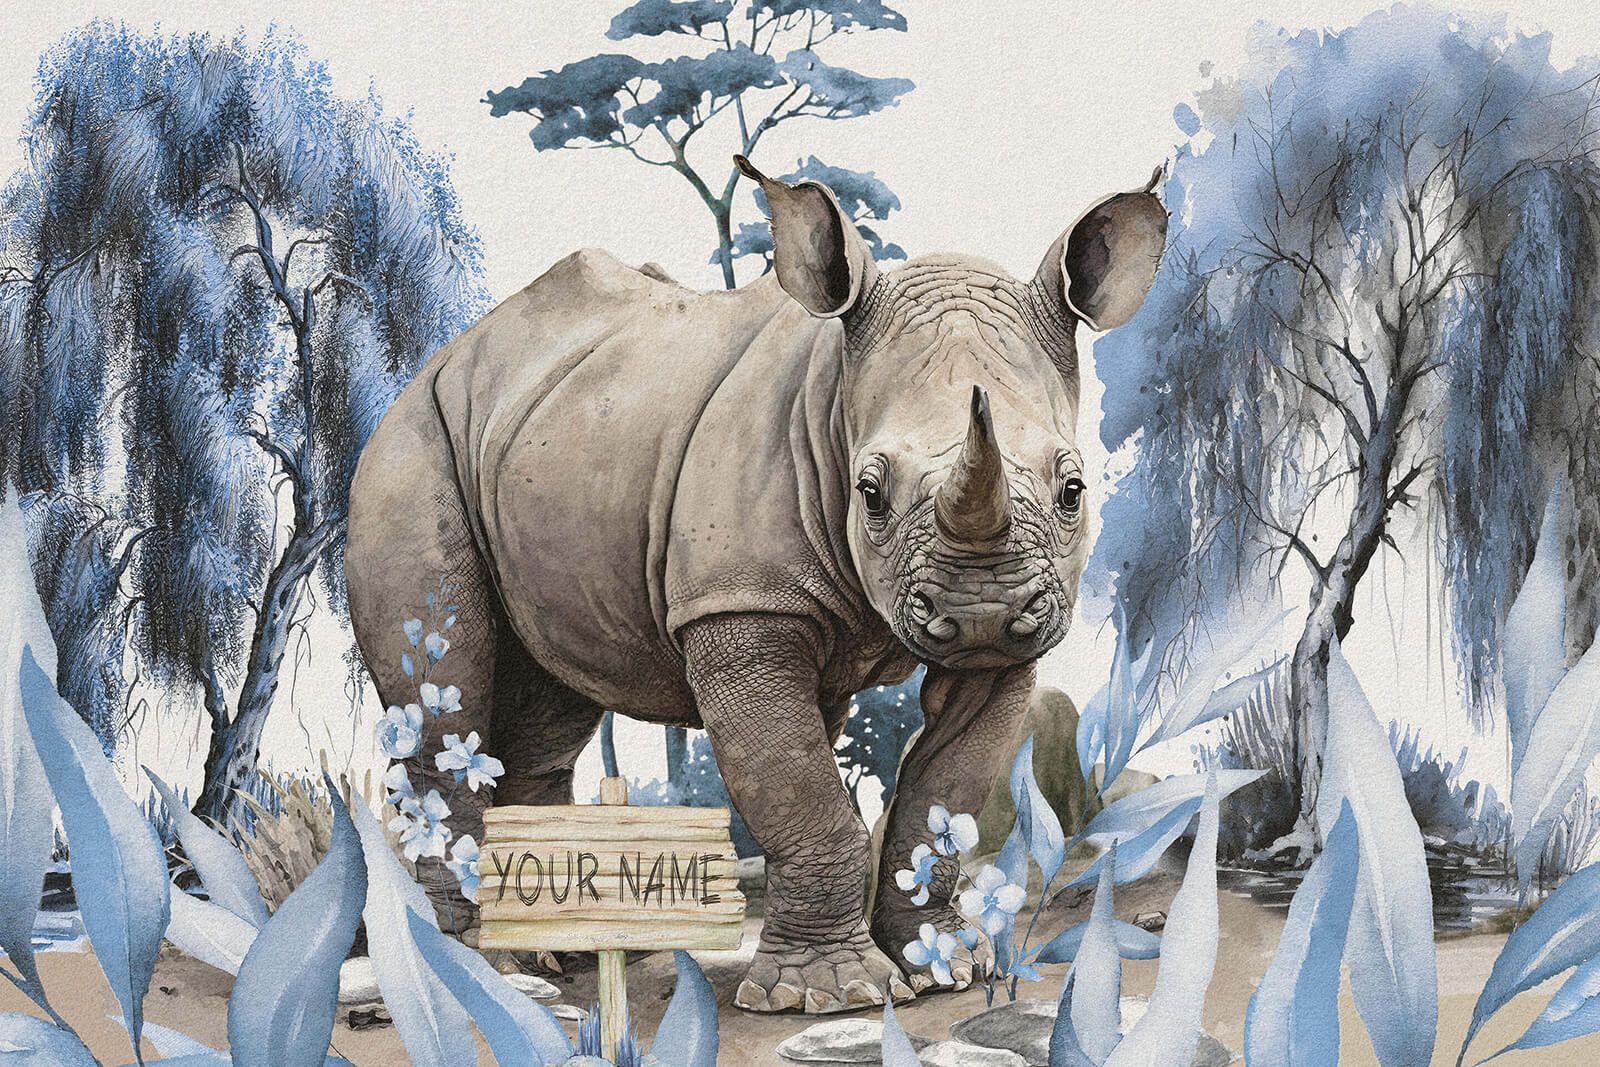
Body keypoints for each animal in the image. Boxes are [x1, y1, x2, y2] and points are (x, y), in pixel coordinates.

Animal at [344, 155, 1166, 1013]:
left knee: (550, 701)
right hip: (411, 445)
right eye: (870, 493)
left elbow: (945, 792)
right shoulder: (741, 605)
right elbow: (804, 795)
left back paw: (567, 951)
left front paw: (942, 968)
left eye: (1072, 489)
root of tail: (441, 358)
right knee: (445, 684)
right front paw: (834, 994)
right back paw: (496, 968)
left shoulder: (1008, 642)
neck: (836, 395)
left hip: (542, 443)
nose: (981, 613)